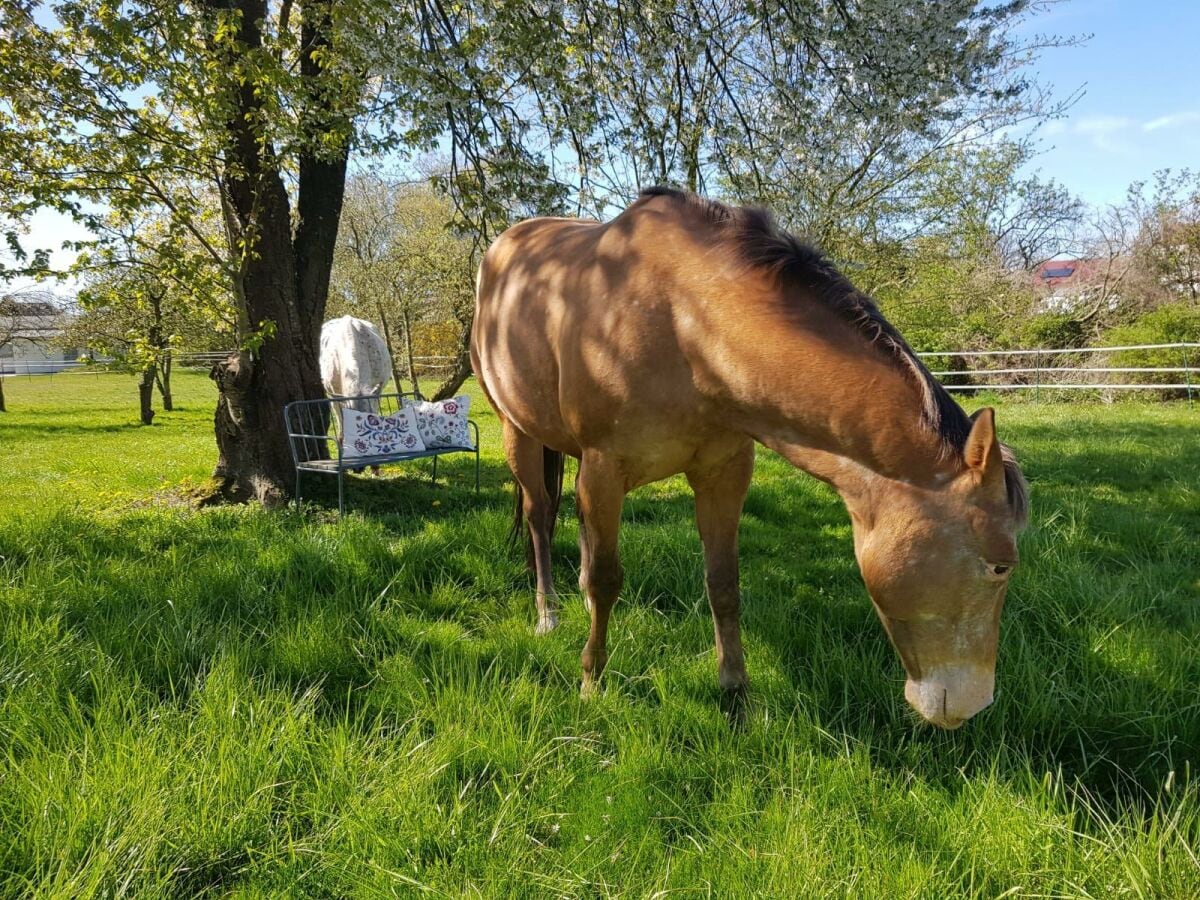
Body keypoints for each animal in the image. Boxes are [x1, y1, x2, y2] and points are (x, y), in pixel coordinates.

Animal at [472, 187, 1027, 729]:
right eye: (1000, 567)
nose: (974, 705)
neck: (684, 323)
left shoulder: (723, 473)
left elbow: (723, 584)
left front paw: (736, 694)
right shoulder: (605, 469)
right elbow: (608, 580)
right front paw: (591, 681)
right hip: (518, 433)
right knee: (540, 517)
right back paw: (548, 614)